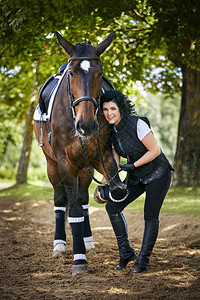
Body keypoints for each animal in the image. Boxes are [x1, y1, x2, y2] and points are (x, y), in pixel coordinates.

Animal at [32, 31, 126, 276]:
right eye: (72, 74)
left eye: (100, 74)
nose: (86, 125)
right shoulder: (65, 163)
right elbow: (72, 209)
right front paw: (79, 259)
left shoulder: (101, 156)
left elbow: (116, 190)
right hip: (52, 165)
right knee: (60, 200)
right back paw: (59, 245)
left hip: (85, 168)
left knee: (83, 199)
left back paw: (88, 241)